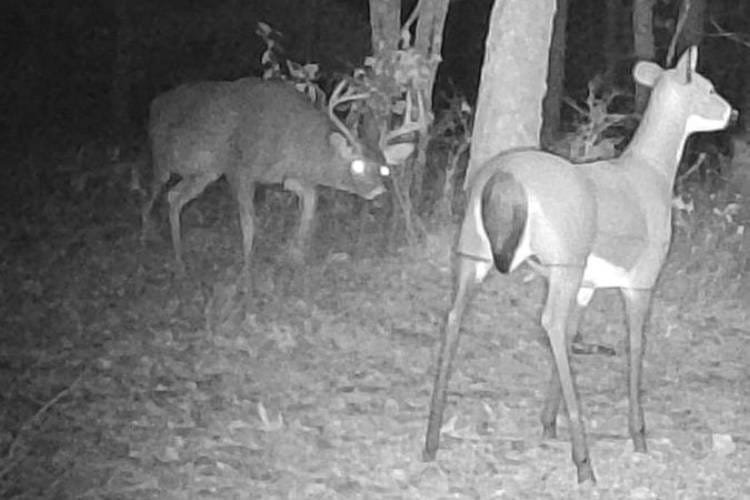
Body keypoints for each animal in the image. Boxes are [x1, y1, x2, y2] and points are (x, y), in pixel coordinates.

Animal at [141, 77, 422, 275]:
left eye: (385, 168)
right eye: (357, 166)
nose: (379, 192)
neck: (293, 142)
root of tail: (154, 103)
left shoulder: (292, 176)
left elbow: (310, 208)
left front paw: (297, 257)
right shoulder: (240, 169)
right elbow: (248, 223)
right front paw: (247, 271)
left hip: (204, 172)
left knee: (175, 197)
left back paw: (179, 260)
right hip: (162, 158)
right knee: (152, 196)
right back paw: (146, 240)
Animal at [423, 47, 736, 484]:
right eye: (708, 88)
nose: (733, 113)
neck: (652, 174)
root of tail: (504, 177)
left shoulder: (588, 284)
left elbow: (573, 335)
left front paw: (547, 424)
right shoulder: (642, 277)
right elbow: (635, 344)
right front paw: (639, 437)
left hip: (473, 250)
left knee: (455, 316)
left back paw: (431, 443)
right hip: (564, 257)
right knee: (549, 322)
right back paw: (585, 463)